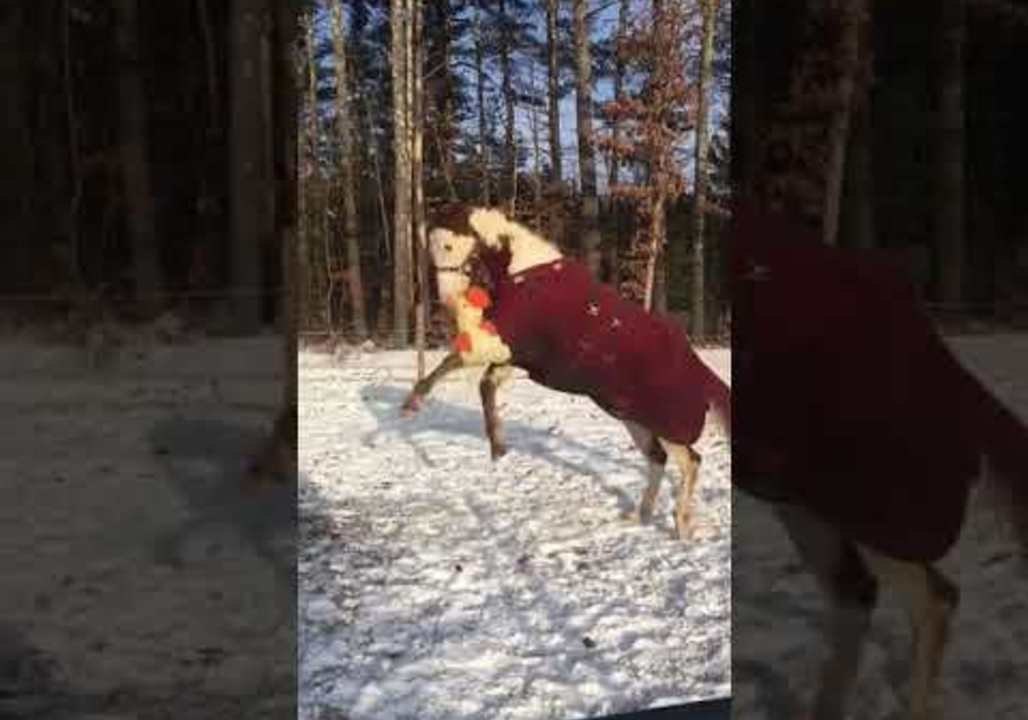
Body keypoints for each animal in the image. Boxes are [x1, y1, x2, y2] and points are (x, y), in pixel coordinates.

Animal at [402, 204, 731, 541]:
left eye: (449, 245)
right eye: (430, 247)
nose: (449, 301)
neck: (522, 272)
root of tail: (697, 367)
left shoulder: (503, 343)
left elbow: (452, 363)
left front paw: (412, 404)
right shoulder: (513, 356)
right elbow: (484, 385)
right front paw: (497, 447)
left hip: (667, 426)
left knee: (691, 462)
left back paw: (681, 526)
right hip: (634, 419)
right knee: (658, 459)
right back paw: (641, 516)